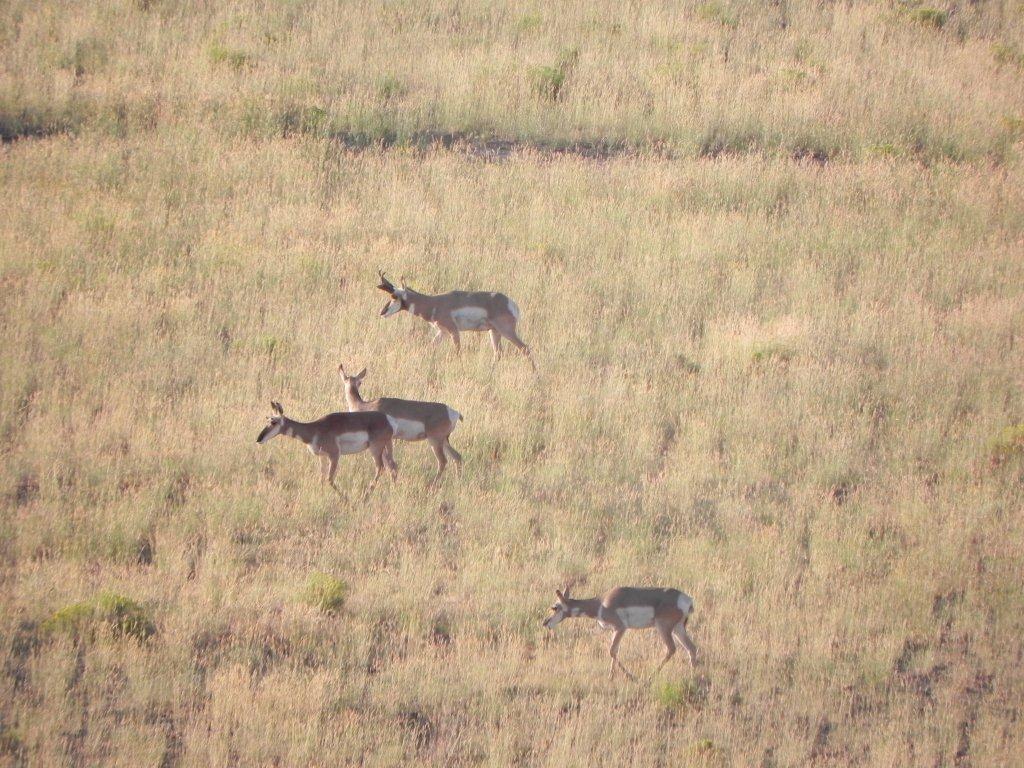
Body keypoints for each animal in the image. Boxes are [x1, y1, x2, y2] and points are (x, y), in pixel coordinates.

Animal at [253, 403, 397, 493]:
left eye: (273, 422)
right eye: (267, 419)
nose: (259, 439)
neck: (315, 429)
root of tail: (387, 419)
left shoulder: (334, 455)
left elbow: (329, 479)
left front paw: (346, 500)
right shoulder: (322, 457)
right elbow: (321, 479)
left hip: (375, 449)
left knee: (381, 468)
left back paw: (366, 496)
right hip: (385, 448)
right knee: (392, 466)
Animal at [376, 270, 536, 366]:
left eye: (394, 296)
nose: (382, 313)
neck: (434, 302)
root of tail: (510, 303)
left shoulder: (453, 331)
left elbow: (458, 351)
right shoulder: (442, 332)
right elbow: (429, 348)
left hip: (506, 331)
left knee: (525, 348)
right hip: (494, 332)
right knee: (498, 353)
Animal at [544, 585, 696, 684]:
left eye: (555, 607)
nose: (545, 622)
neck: (601, 603)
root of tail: (686, 599)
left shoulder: (621, 628)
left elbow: (611, 650)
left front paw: (630, 677)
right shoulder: (615, 630)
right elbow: (615, 651)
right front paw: (610, 677)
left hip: (663, 628)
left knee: (671, 649)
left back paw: (649, 677)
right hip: (678, 629)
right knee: (691, 648)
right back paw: (693, 675)